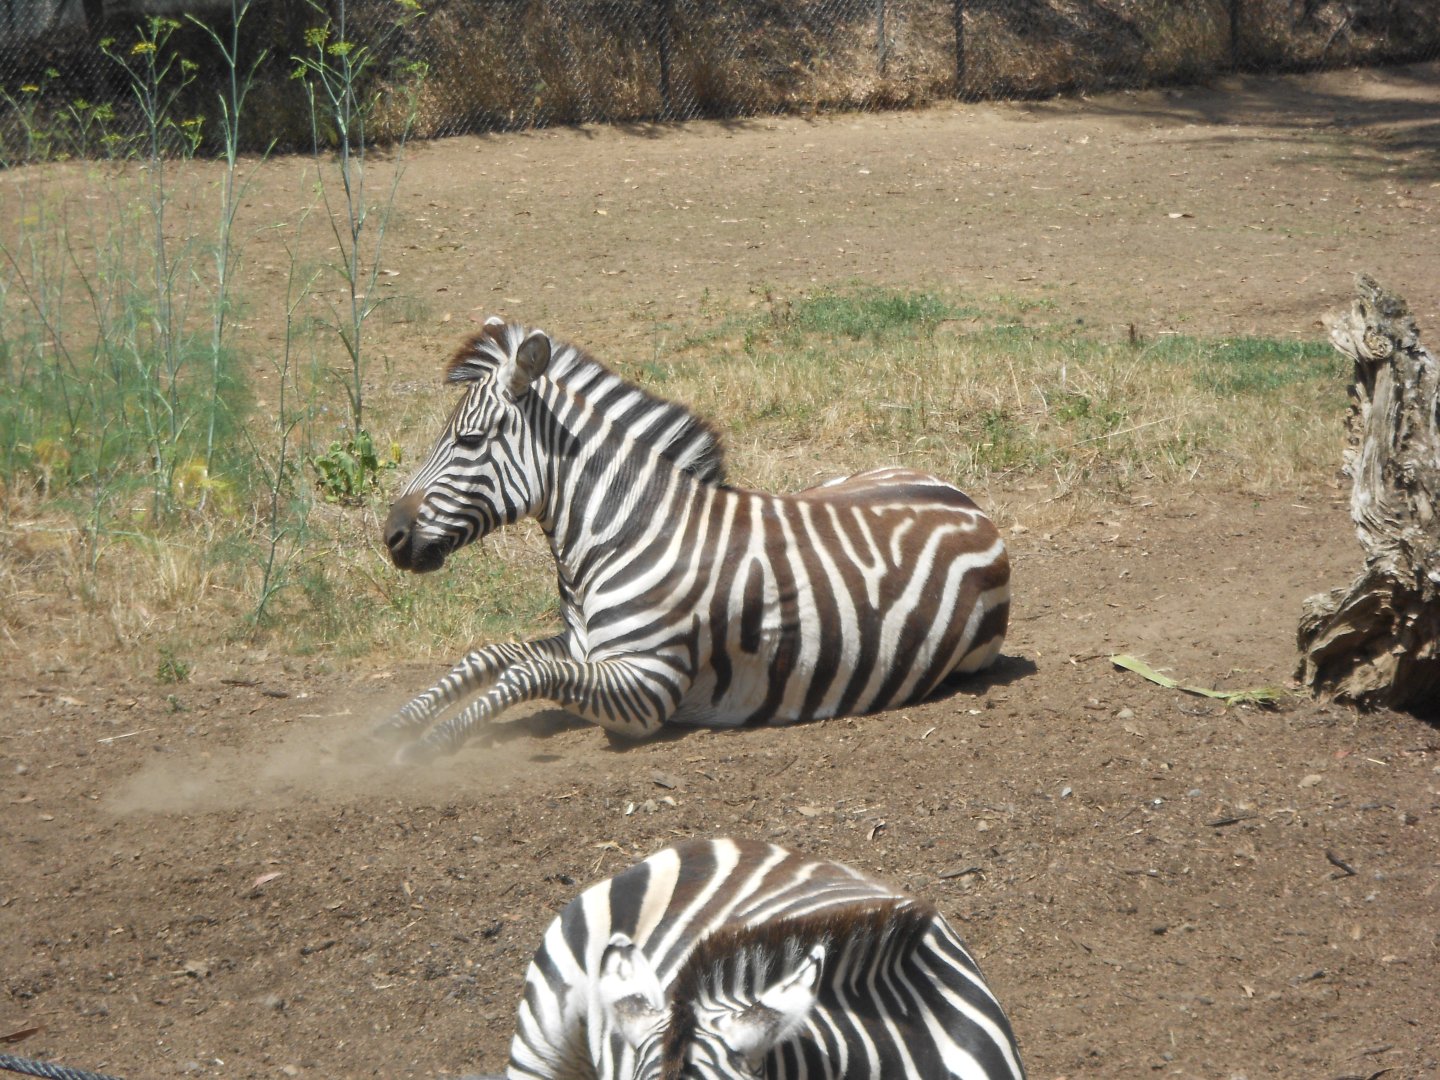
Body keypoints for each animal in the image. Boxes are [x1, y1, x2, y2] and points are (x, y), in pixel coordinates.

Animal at [380, 318, 1010, 763]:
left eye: (469, 440)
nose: (391, 535)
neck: (626, 531)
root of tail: (969, 503)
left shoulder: (645, 688)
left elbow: (522, 674)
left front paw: (425, 746)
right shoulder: (582, 649)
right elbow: (492, 655)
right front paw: (386, 729)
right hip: (835, 484)